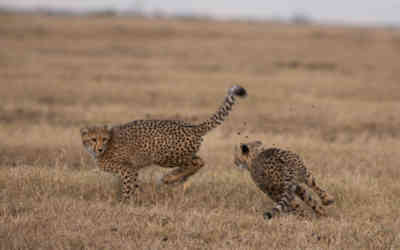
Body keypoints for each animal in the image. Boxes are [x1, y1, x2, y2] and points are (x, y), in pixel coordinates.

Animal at [81, 85, 247, 201]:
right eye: (93, 139)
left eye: (104, 139)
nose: (99, 149)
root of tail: (192, 126)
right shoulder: (132, 170)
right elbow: (134, 185)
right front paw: (137, 199)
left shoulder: (128, 169)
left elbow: (128, 187)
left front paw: (125, 203)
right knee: (196, 161)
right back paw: (176, 178)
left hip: (164, 156)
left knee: (198, 161)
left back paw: (170, 177)